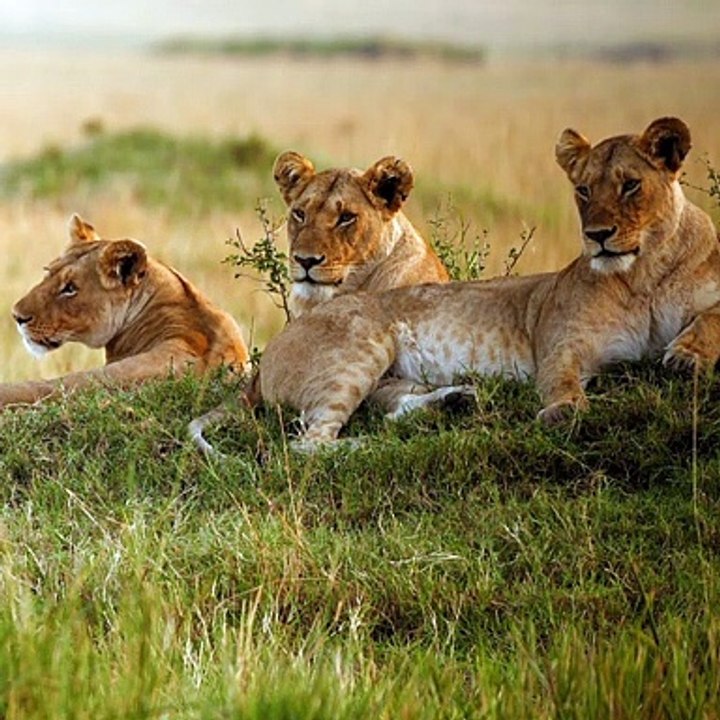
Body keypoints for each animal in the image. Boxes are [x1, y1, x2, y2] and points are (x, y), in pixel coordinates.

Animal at [253, 117, 720, 449]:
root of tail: (272, 350)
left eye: (631, 186)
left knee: (387, 410)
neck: (644, 275)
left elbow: (710, 317)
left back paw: (455, 401)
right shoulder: (560, 347)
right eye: (584, 190)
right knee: (310, 443)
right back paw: (374, 444)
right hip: (360, 353)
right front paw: (564, 411)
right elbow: (562, 381)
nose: (305, 261)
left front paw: (685, 356)